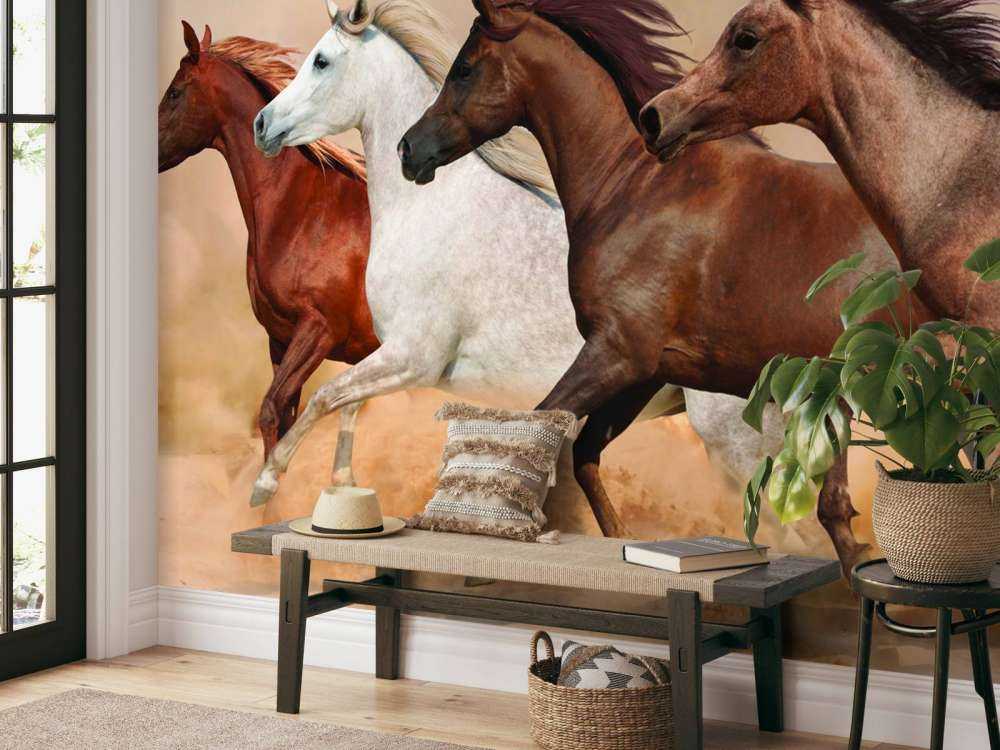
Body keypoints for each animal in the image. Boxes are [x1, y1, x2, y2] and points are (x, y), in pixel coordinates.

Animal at [158, 22, 377, 485]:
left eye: (175, 92)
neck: (303, 207)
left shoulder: (318, 331)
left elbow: (272, 411)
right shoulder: (280, 339)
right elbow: (281, 419)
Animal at [248, 0, 793, 537]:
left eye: (321, 61)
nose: (262, 124)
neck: (428, 208)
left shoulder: (412, 357)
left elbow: (325, 398)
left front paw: (265, 483)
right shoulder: (388, 357)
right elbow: (345, 405)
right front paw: (335, 484)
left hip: (733, 442)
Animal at [397, 0, 935, 574]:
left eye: (464, 68)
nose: (409, 149)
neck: (637, 186)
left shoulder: (616, 354)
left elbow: (542, 427)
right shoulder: (646, 370)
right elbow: (583, 454)